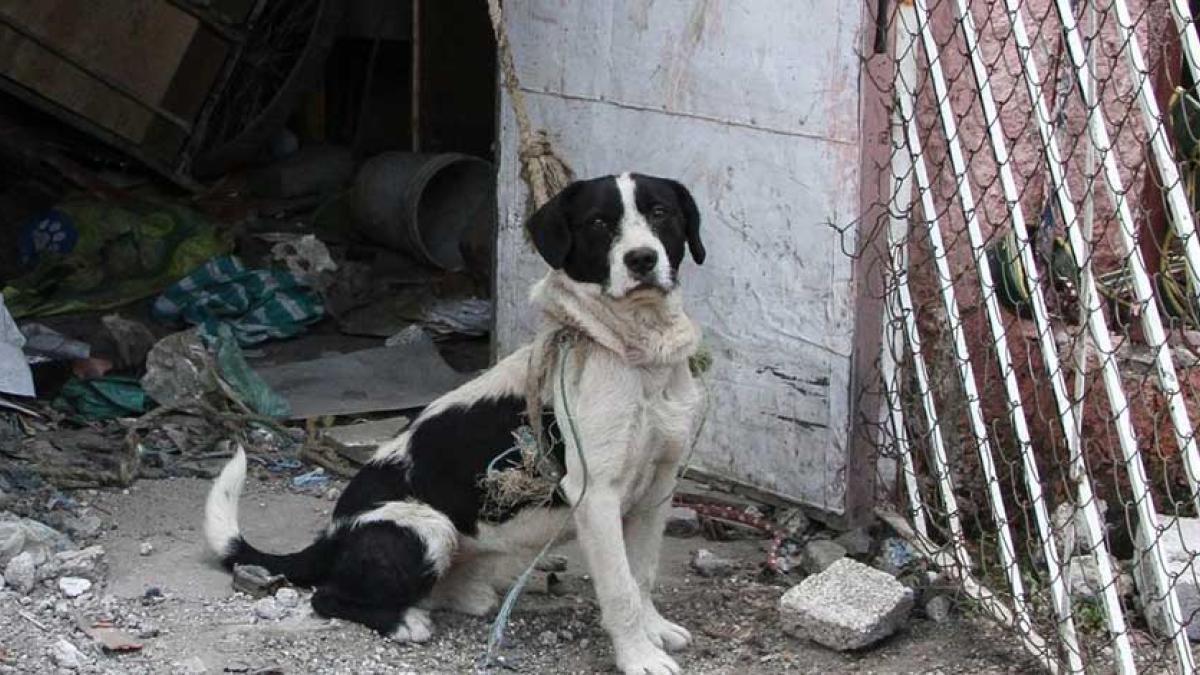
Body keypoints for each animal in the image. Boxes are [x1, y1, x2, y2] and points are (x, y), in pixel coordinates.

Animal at [204, 170, 700, 667]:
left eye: (661, 212)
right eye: (598, 222)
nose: (642, 259)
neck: (637, 355)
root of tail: (332, 533)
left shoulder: (659, 485)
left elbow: (642, 572)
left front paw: (655, 630)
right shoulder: (595, 494)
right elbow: (619, 589)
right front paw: (639, 658)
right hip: (427, 530)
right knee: (327, 597)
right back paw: (404, 623)